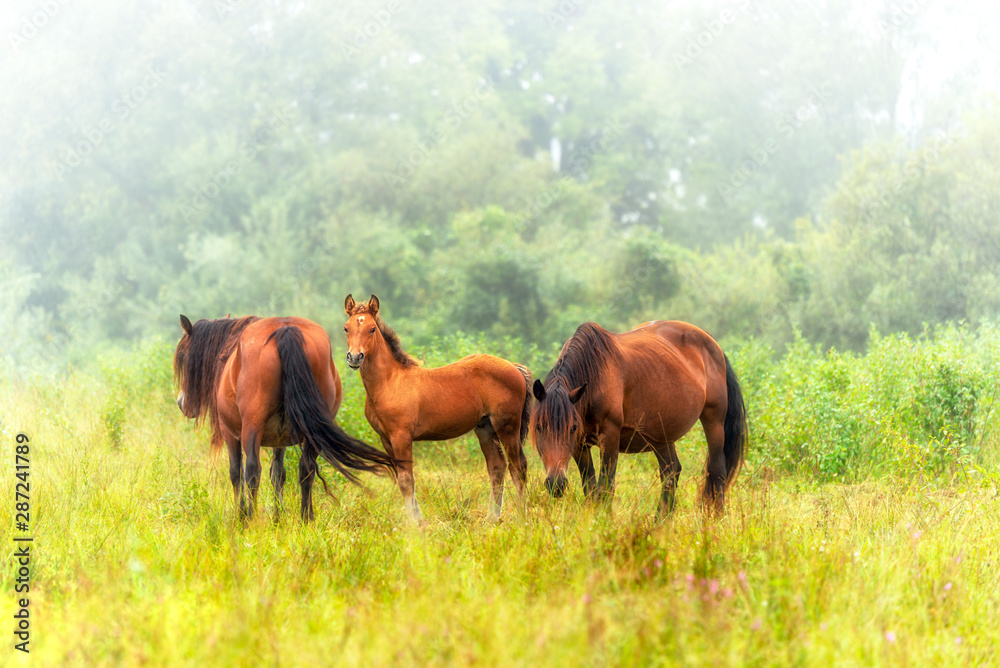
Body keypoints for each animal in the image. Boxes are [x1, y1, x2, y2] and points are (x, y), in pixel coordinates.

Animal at [173, 314, 398, 522]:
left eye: (183, 356)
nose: (181, 403)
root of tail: (286, 328)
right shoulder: (279, 439)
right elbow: (278, 474)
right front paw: (278, 517)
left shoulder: (231, 433)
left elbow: (237, 473)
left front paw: (241, 515)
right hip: (313, 431)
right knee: (306, 470)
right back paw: (306, 519)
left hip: (252, 428)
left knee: (252, 471)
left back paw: (251, 520)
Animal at [342, 294, 533, 522]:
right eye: (346, 328)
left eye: (372, 329)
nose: (355, 357)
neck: (390, 381)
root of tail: (515, 367)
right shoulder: (386, 439)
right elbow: (401, 478)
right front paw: (417, 519)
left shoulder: (401, 436)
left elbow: (406, 480)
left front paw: (415, 523)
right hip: (485, 428)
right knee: (497, 467)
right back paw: (491, 518)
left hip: (507, 426)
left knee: (518, 467)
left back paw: (521, 518)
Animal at [530, 320, 747, 515]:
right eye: (539, 427)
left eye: (572, 428)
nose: (556, 484)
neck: (596, 377)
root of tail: (714, 345)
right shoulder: (579, 446)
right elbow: (590, 489)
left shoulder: (610, 437)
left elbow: (605, 487)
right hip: (661, 436)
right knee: (671, 473)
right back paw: (659, 522)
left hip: (714, 420)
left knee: (717, 471)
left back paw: (714, 519)